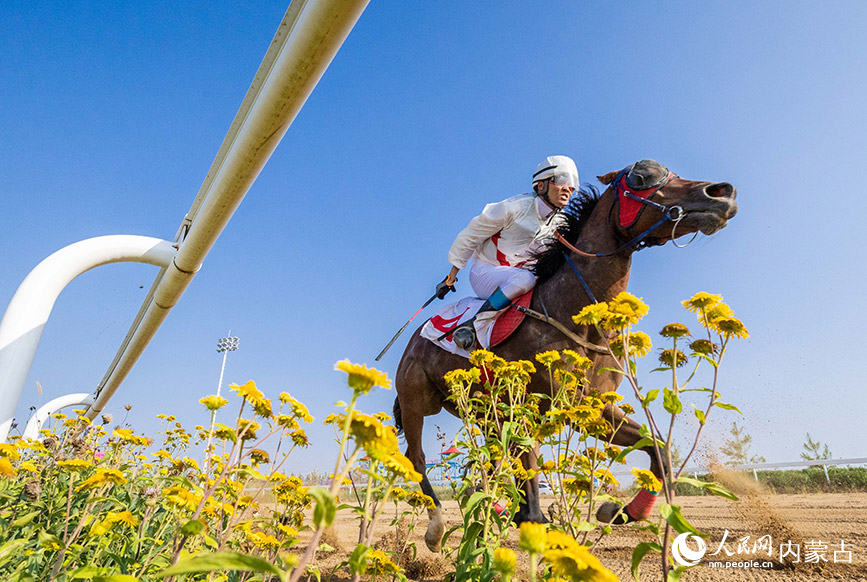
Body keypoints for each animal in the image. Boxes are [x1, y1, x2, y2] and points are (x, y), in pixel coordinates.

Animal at [394, 160, 740, 552]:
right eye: (641, 175)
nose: (722, 193)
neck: (572, 310)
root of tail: (412, 340)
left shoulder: (591, 405)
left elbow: (658, 447)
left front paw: (621, 511)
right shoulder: (542, 405)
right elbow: (530, 487)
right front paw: (532, 520)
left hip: (484, 413)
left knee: (492, 459)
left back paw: (492, 506)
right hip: (416, 402)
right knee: (417, 459)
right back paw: (437, 526)